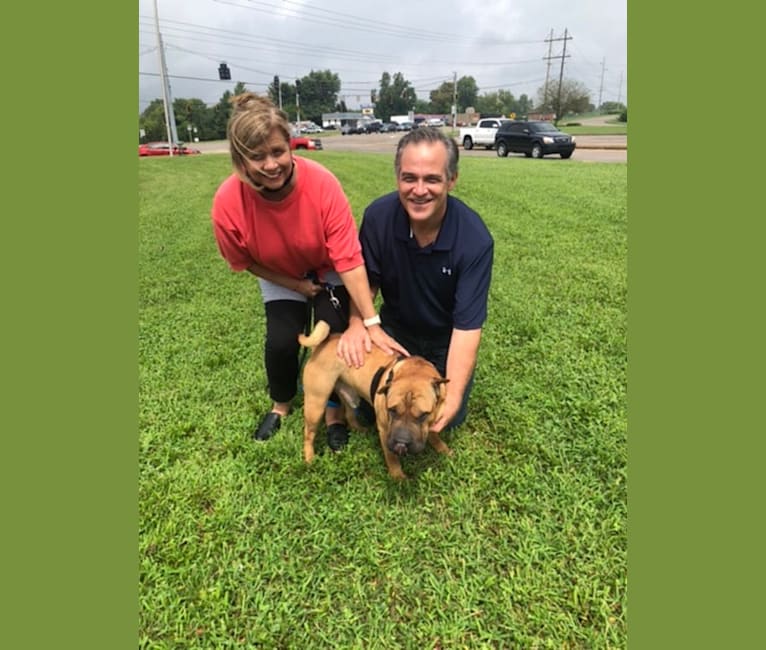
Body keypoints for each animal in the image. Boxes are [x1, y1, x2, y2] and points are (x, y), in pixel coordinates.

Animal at [298, 318, 452, 476]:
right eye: (392, 410)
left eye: (423, 415)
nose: (401, 442)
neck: (413, 371)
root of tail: (323, 343)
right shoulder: (385, 431)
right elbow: (391, 457)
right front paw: (398, 477)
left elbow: (434, 435)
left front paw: (444, 450)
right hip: (316, 403)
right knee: (308, 434)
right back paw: (310, 459)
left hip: (349, 394)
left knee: (349, 414)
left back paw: (360, 429)